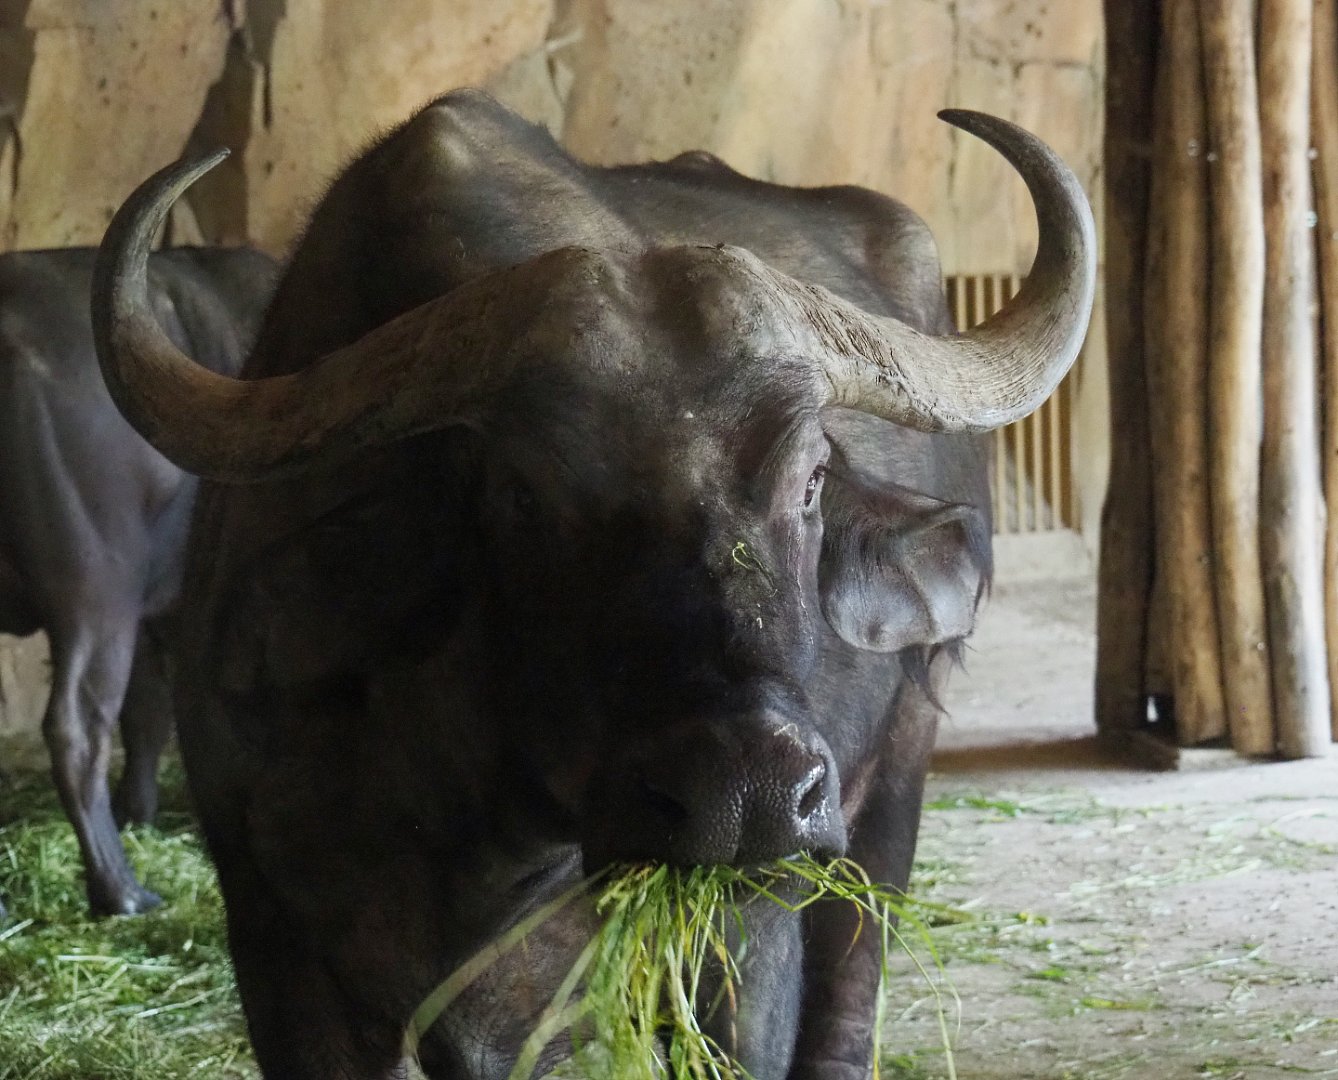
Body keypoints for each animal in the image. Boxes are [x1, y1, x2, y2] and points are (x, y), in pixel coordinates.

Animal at [93, 91, 1093, 1078]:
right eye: (522, 492)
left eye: (810, 479)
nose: (750, 789)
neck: (486, 841)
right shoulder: (281, 954)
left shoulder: (747, 937)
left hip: (885, 800)